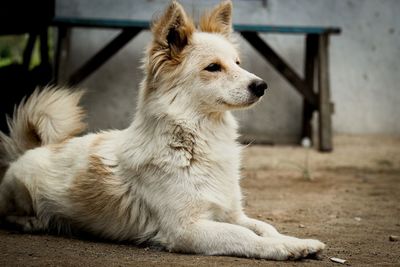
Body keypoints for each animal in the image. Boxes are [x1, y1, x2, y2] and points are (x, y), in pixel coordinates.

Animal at [0, 0, 324, 262]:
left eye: (237, 63)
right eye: (213, 67)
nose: (261, 85)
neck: (197, 141)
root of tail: (32, 149)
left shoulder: (231, 213)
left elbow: (264, 227)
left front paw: (295, 241)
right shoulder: (186, 229)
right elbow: (244, 236)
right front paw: (283, 249)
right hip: (20, 188)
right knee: (8, 213)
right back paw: (31, 222)